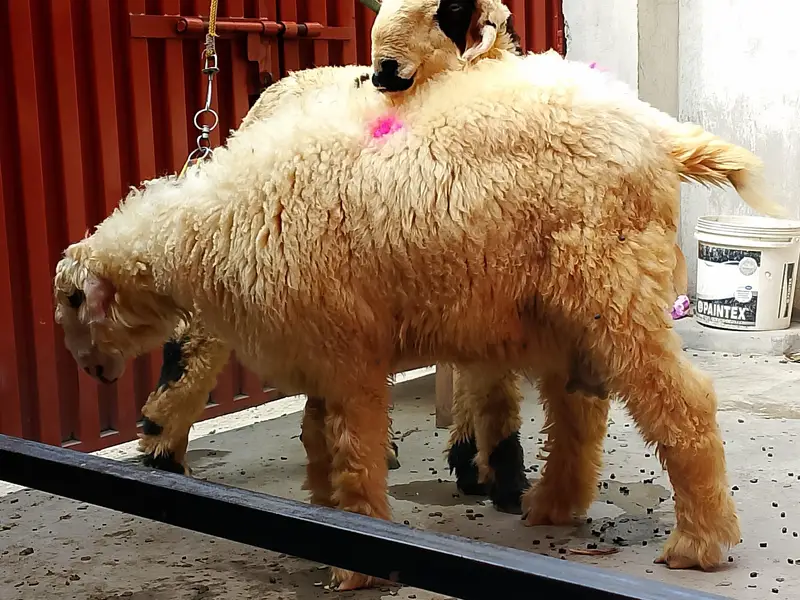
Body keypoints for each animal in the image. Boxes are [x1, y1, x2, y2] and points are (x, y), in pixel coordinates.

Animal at [52, 33, 787, 587]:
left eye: (72, 306)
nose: (92, 374)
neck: (209, 228)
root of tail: (663, 138)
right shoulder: (322, 351)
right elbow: (317, 438)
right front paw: (323, 512)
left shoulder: (346, 352)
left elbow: (353, 447)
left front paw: (355, 558)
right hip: (559, 306)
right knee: (579, 405)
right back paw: (551, 505)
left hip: (613, 287)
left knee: (682, 404)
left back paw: (698, 543)